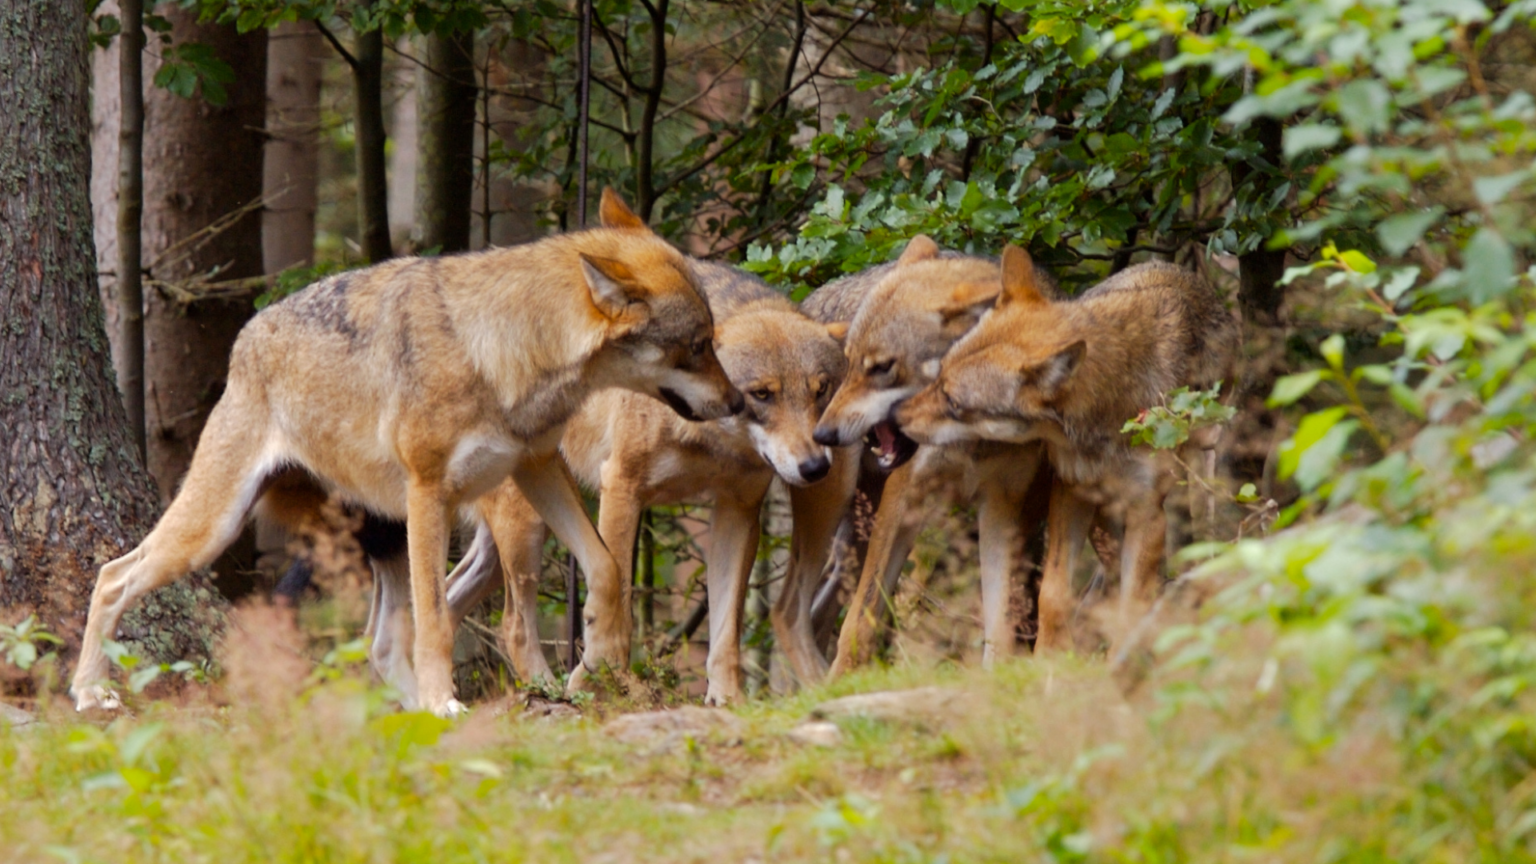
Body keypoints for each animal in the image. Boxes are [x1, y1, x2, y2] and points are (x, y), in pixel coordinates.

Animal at [72, 191, 743, 716]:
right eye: (697, 345)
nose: (739, 401)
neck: (503, 348)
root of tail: (247, 335)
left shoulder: (537, 467)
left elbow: (606, 568)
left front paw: (601, 655)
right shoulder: (430, 492)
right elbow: (438, 622)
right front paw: (443, 699)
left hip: (385, 532)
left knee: (379, 644)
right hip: (215, 528)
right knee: (112, 576)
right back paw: (88, 692)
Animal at [371, 258, 854, 704]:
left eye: (821, 391)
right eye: (762, 394)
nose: (815, 467)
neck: (710, 438)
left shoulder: (738, 512)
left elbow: (726, 631)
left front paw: (727, 700)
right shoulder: (622, 488)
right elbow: (618, 600)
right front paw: (610, 687)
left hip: (504, 546)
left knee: (441, 609)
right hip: (527, 528)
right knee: (512, 625)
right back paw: (551, 691)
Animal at [897, 242, 1234, 645]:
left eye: (954, 403)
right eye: (939, 374)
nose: (896, 415)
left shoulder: (1147, 512)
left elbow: (1131, 606)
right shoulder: (1071, 491)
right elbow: (1053, 595)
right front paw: (1050, 654)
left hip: (1199, 479)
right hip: (1103, 512)